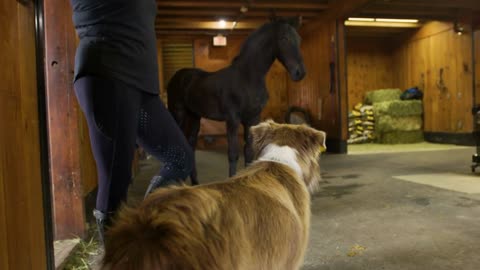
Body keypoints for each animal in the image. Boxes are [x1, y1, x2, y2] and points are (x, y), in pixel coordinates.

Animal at [167, 15, 306, 185]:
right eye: (284, 38)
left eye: (299, 39)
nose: (300, 73)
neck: (247, 77)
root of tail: (177, 77)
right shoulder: (232, 120)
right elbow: (233, 154)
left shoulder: (252, 119)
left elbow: (248, 152)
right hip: (178, 114)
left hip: (194, 117)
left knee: (191, 145)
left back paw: (195, 182)